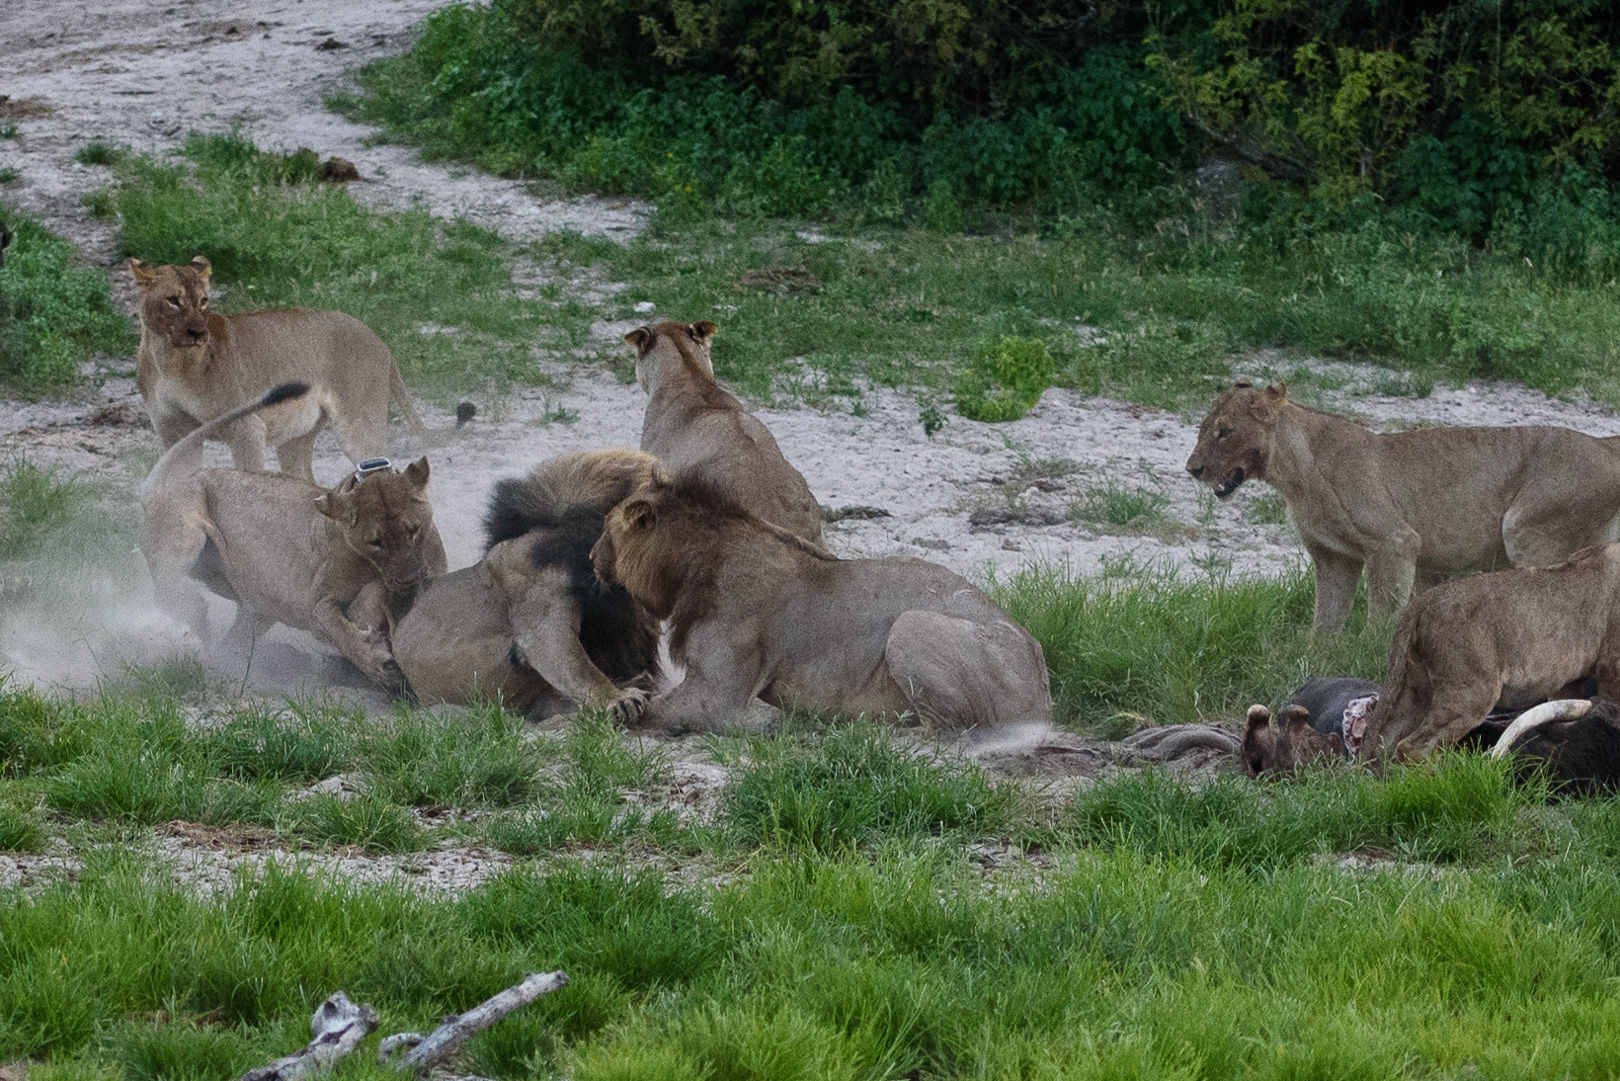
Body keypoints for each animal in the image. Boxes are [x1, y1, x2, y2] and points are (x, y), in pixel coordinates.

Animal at [131, 255, 427, 481]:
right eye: (173, 300)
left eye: (203, 301)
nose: (198, 333)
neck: (169, 360)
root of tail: (378, 338)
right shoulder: (174, 432)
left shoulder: (246, 428)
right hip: (296, 436)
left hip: (361, 427)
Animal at [139, 383, 447, 687]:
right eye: (375, 542)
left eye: (413, 530)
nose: (409, 581)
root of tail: (164, 487)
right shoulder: (317, 605)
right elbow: (338, 631)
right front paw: (378, 663)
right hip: (185, 529)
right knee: (165, 591)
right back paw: (192, 615)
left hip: (250, 603)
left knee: (231, 633)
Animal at [588, 470, 1053, 734]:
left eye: (608, 528)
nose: (591, 557)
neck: (693, 566)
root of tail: (1041, 680)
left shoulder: (716, 696)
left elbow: (654, 713)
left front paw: (613, 712)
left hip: (912, 625)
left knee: (950, 732)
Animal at [1185, 380, 1620, 632]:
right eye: (1202, 429)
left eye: (1224, 431)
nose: (1192, 469)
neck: (1291, 474)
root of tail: (1604, 445)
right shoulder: (1333, 558)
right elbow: (1324, 623)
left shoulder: (1394, 541)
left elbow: (1381, 615)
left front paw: (1367, 655)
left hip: (1527, 532)